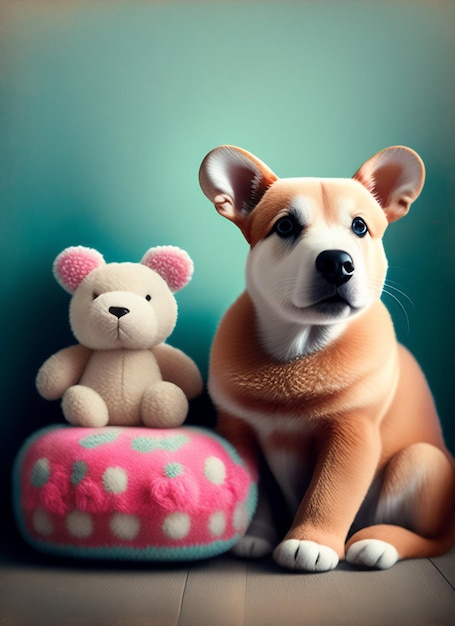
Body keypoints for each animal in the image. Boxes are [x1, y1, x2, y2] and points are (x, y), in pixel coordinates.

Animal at [200, 145, 455, 572]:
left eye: (360, 227)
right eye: (285, 226)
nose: (337, 262)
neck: (300, 347)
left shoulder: (352, 432)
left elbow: (332, 490)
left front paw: (310, 542)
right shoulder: (239, 429)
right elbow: (258, 488)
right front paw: (255, 534)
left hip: (421, 463)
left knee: (432, 539)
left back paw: (379, 543)